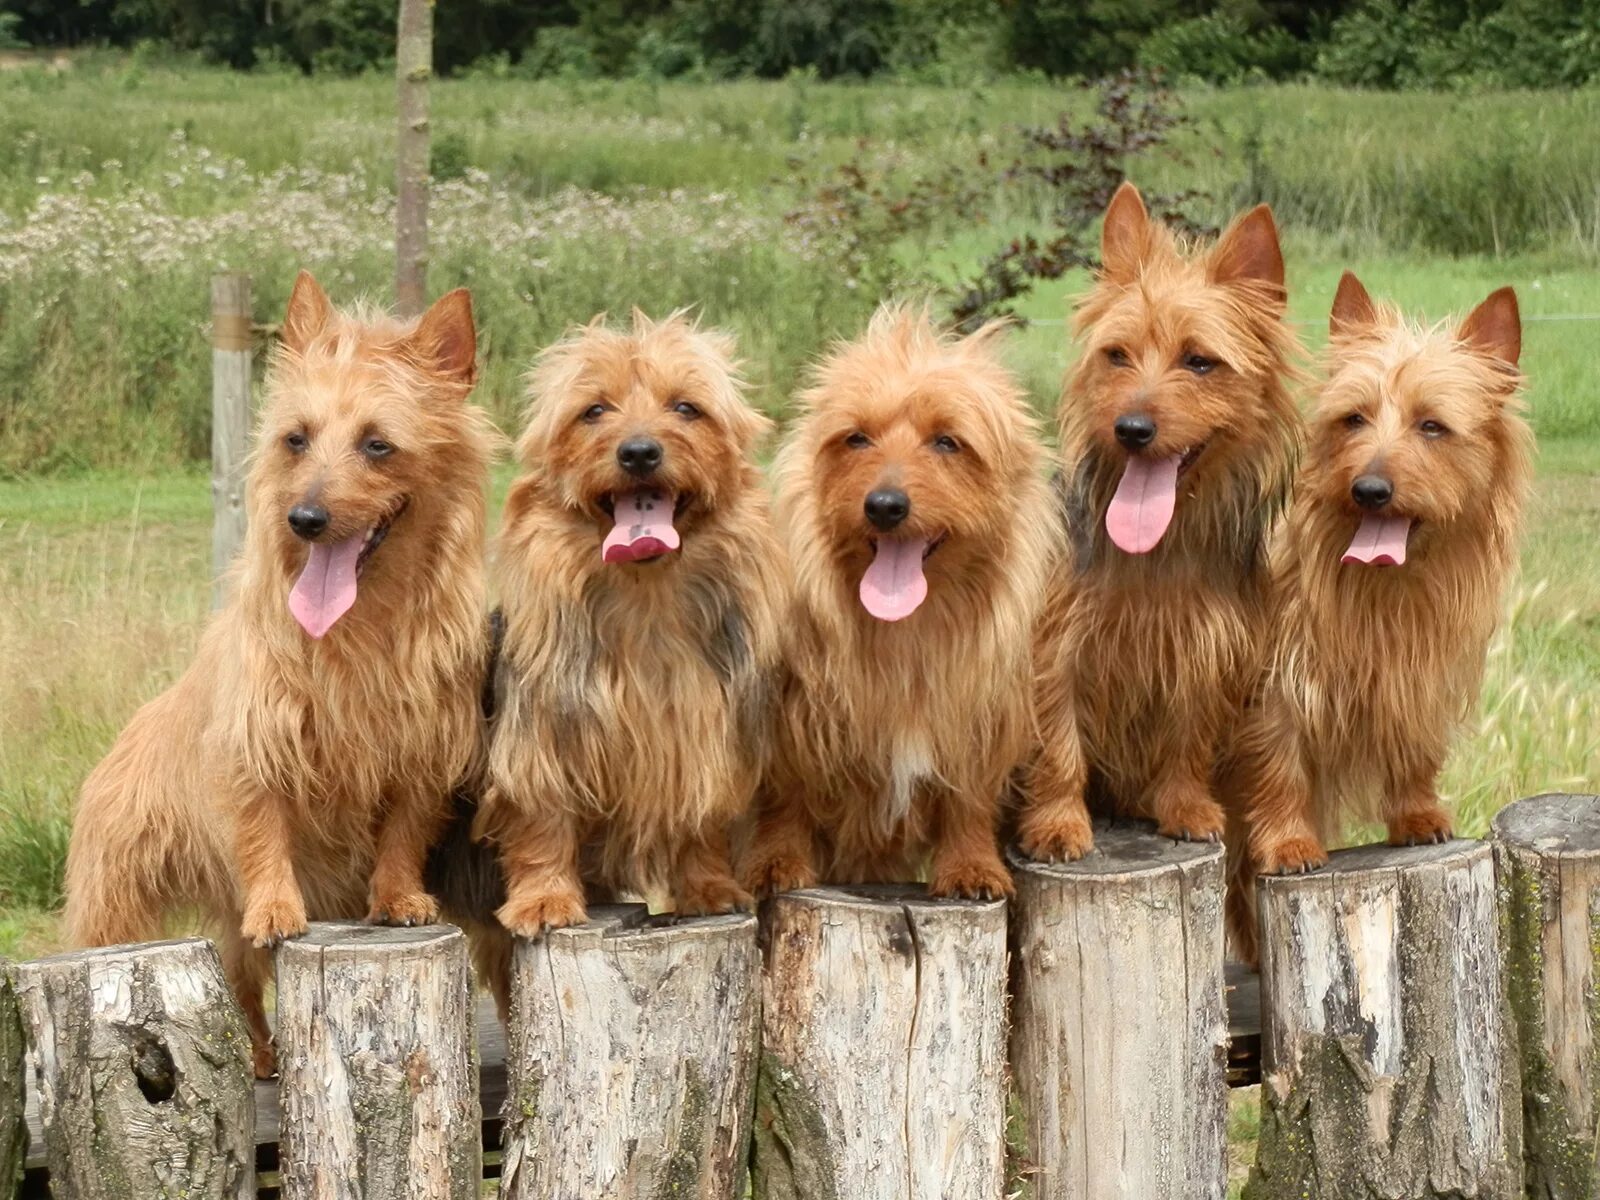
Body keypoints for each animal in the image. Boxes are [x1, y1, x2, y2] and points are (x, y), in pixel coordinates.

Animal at [64, 275, 492, 1081]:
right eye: (296, 438)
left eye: (378, 444)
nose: (306, 518)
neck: (360, 629)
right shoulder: (255, 745)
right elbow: (264, 830)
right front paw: (277, 907)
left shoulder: (423, 751)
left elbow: (402, 831)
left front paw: (398, 897)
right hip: (117, 901)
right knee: (208, 966)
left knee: (236, 980)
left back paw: (261, 1051)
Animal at [476, 312, 784, 947]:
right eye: (594, 410)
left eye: (686, 408)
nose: (639, 452)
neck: (646, 597)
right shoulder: (543, 733)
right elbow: (543, 814)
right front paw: (544, 899)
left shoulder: (700, 729)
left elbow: (701, 816)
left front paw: (707, 887)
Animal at [732, 305, 1049, 896]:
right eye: (856, 439)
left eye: (947, 441)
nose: (883, 505)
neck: (906, 630)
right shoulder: (789, 723)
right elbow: (784, 800)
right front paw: (776, 862)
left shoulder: (978, 718)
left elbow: (968, 798)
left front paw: (970, 864)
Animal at [1024, 180, 1299, 864]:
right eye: (1117, 356)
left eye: (1199, 362)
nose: (1131, 428)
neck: (1159, 548)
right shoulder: (1054, 647)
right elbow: (1057, 746)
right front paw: (1058, 824)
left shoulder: (1208, 651)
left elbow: (1187, 739)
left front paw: (1185, 807)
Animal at [1216, 276, 1529, 966]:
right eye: (1353, 418)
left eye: (1432, 426)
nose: (1369, 489)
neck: (1383, 590)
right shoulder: (1274, 686)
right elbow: (1278, 765)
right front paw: (1289, 843)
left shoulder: (1418, 672)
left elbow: (1415, 748)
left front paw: (1416, 815)